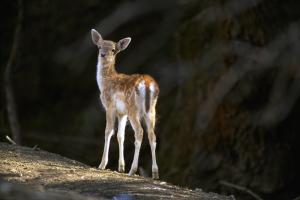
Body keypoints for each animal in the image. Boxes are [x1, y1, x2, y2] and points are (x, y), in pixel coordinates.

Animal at [91, 28, 161, 180]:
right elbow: (120, 135)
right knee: (152, 135)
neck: (104, 83)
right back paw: (155, 173)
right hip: (151, 110)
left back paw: (132, 170)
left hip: (133, 109)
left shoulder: (110, 106)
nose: (103, 54)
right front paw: (121, 167)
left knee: (139, 132)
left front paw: (102, 164)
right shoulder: (121, 113)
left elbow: (108, 131)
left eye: (113, 49)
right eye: (99, 46)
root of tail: (147, 84)